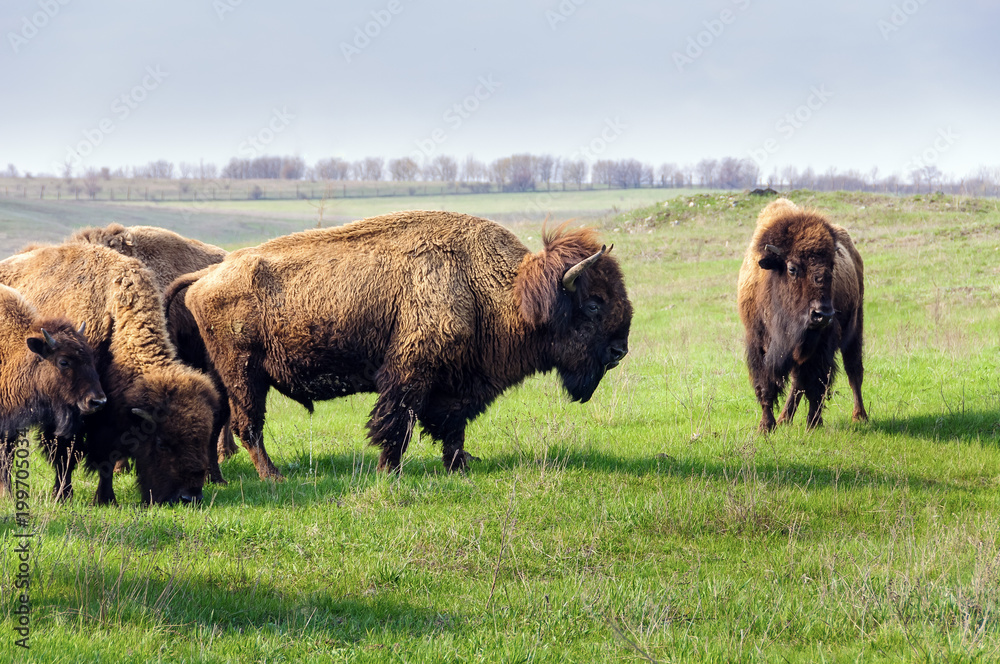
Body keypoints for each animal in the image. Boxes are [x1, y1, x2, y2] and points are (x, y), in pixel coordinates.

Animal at [182, 211, 632, 478]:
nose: (619, 351)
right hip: (245, 375)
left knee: (219, 420)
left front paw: (460, 465)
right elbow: (396, 422)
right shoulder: (411, 372)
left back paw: (218, 478)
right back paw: (273, 475)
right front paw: (389, 472)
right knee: (248, 426)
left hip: (221, 376)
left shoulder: (458, 384)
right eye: (594, 303)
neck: (495, 287)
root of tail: (206, 277)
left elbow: (452, 426)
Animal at [736, 197, 868, 434]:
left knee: (854, 372)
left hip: (855, 328)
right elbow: (766, 385)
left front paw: (813, 424)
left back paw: (859, 416)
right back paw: (783, 419)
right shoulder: (758, 344)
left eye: (831, 266)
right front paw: (766, 426)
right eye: (792, 268)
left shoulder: (821, 345)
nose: (822, 314)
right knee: (798, 384)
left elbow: (817, 384)